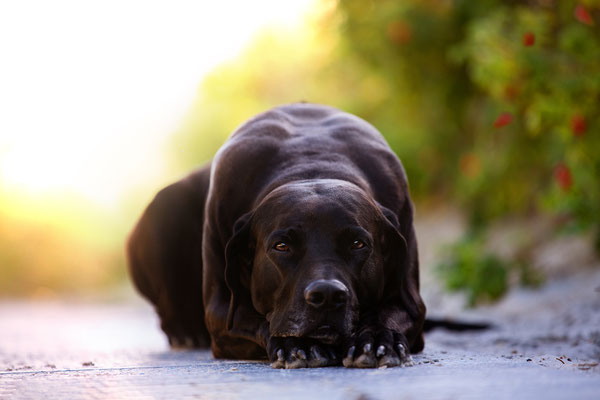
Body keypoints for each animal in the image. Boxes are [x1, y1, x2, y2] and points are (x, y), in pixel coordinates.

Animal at [126, 103, 426, 368]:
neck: (311, 165)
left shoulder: (411, 302)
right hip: (165, 207)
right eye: (281, 246)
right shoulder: (221, 312)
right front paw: (298, 345)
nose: (327, 295)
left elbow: (390, 314)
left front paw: (377, 339)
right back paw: (186, 331)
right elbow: (259, 321)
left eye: (357, 244)